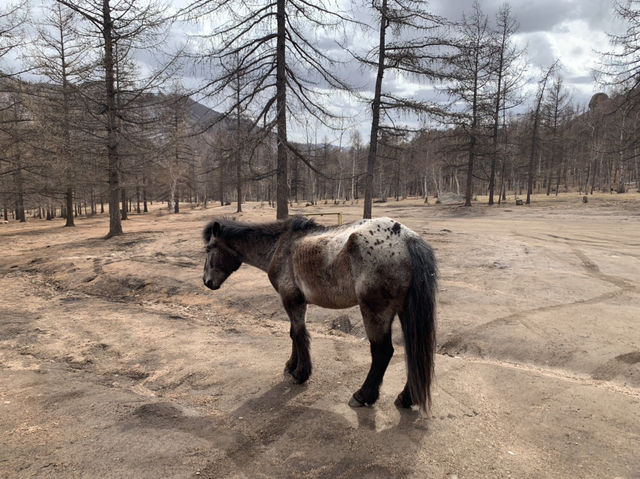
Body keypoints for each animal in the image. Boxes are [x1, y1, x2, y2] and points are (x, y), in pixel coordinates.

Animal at [202, 218, 438, 412]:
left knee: (382, 353)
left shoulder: (291, 301)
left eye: (209, 248)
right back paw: (406, 398)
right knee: (413, 350)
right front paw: (291, 365)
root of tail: (407, 238)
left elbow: (298, 334)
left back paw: (363, 395)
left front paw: (300, 373)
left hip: (375, 312)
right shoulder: (295, 303)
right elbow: (293, 333)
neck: (280, 245)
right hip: (404, 312)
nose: (207, 282)